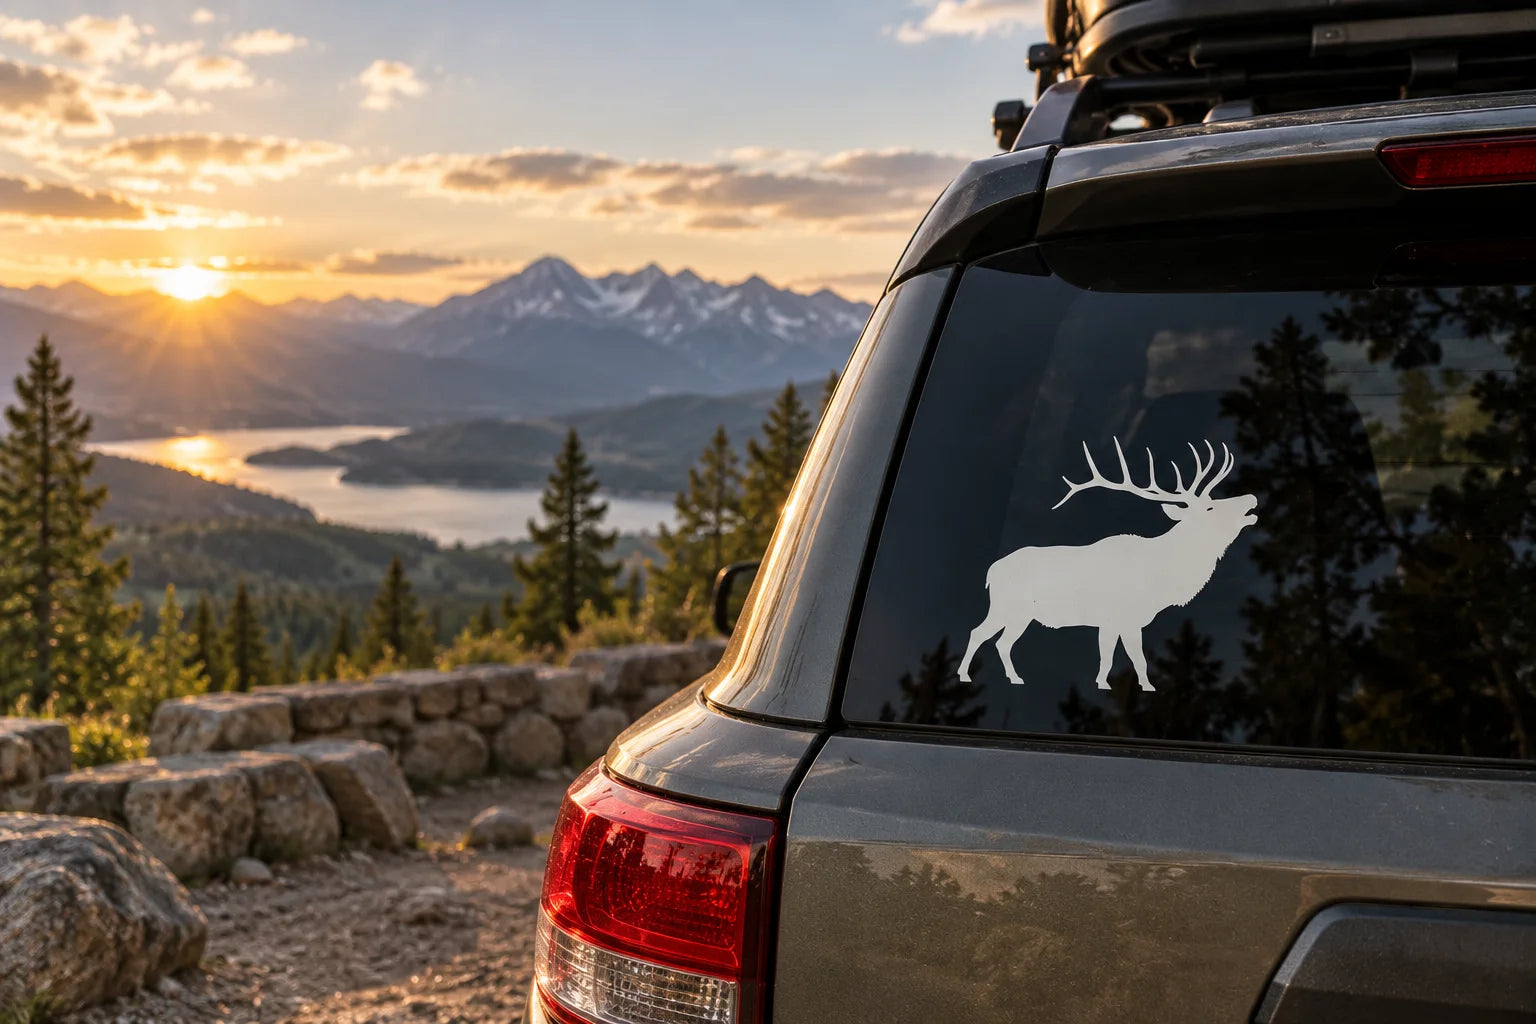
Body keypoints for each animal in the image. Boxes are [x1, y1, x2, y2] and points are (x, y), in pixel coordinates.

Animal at [958, 438, 1258, 692]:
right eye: (1210, 508)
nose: (1251, 498)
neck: (1160, 578)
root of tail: (991, 571)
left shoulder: (1120, 621)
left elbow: (1117, 656)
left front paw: (1110, 683)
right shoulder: (1119, 617)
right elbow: (1127, 657)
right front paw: (1136, 686)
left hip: (1019, 614)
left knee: (1000, 641)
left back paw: (1014, 677)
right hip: (1009, 607)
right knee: (980, 633)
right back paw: (966, 675)